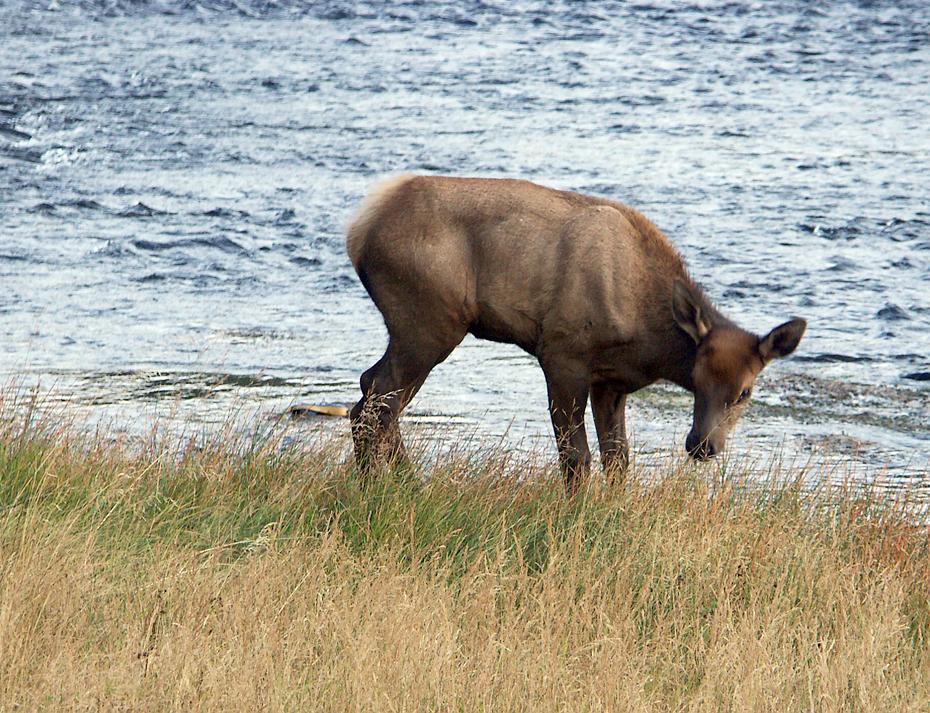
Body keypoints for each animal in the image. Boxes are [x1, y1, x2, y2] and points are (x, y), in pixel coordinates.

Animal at [346, 175, 806, 491]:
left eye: (745, 391)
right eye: (695, 377)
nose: (702, 445)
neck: (647, 340)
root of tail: (358, 231)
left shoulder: (611, 382)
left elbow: (618, 460)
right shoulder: (562, 353)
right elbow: (576, 457)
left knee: (368, 392)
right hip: (428, 321)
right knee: (379, 401)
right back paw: (389, 485)